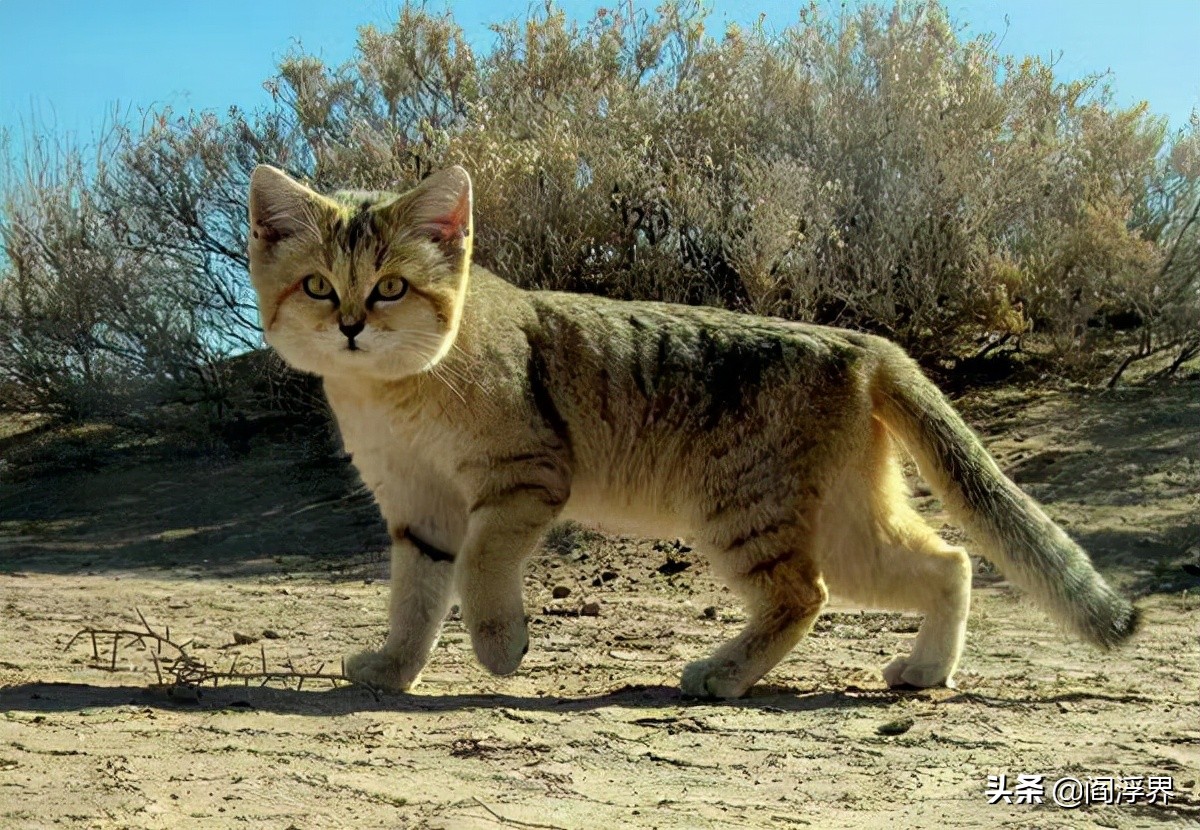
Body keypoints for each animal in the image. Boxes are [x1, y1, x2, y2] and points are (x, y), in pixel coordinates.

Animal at [243, 161, 1132, 695]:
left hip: (741, 513)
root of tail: (865, 342)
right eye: (319, 285)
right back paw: (923, 670)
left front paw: (500, 646)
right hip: (847, 524)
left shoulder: (523, 477)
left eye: (391, 286)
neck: (390, 391)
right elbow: (414, 598)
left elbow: (479, 568)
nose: (351, 325)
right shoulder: (418, 511)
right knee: (950, 562)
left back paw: (723, 675)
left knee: (803, 594)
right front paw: (392, 670)